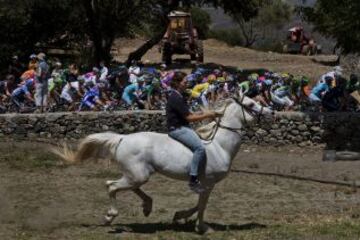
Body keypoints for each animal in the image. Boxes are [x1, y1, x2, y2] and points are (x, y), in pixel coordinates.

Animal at [54, 91, 272, 233]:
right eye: (251, 105)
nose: (270, 112)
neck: (219, 145)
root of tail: (122, 138)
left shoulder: (205, 184)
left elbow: (198, 204)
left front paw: (180, 216)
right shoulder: (208, 183)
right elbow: (202, 205)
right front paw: (202, 227)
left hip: (139, 174)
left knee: (126, 187)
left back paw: (147, 207)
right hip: (138, 175)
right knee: (112, 186)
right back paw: (110, 216)